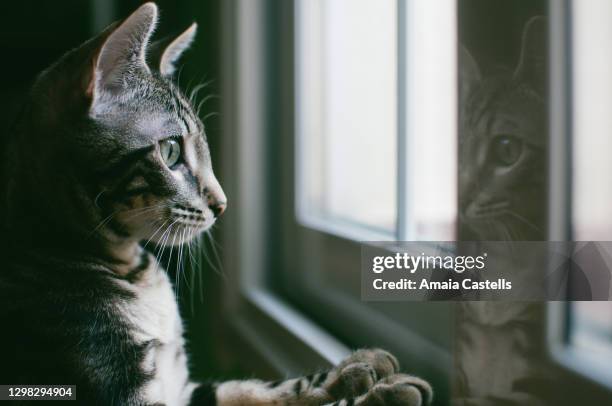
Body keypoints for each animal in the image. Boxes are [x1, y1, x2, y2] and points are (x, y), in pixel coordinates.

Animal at [0, 3, 430, 406]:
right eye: (170, 152)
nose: (223, 203)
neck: (133, 270)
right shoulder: (118, 380)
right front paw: (376, 393)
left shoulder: (185, 388)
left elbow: (255, 388)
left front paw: (355, 370)